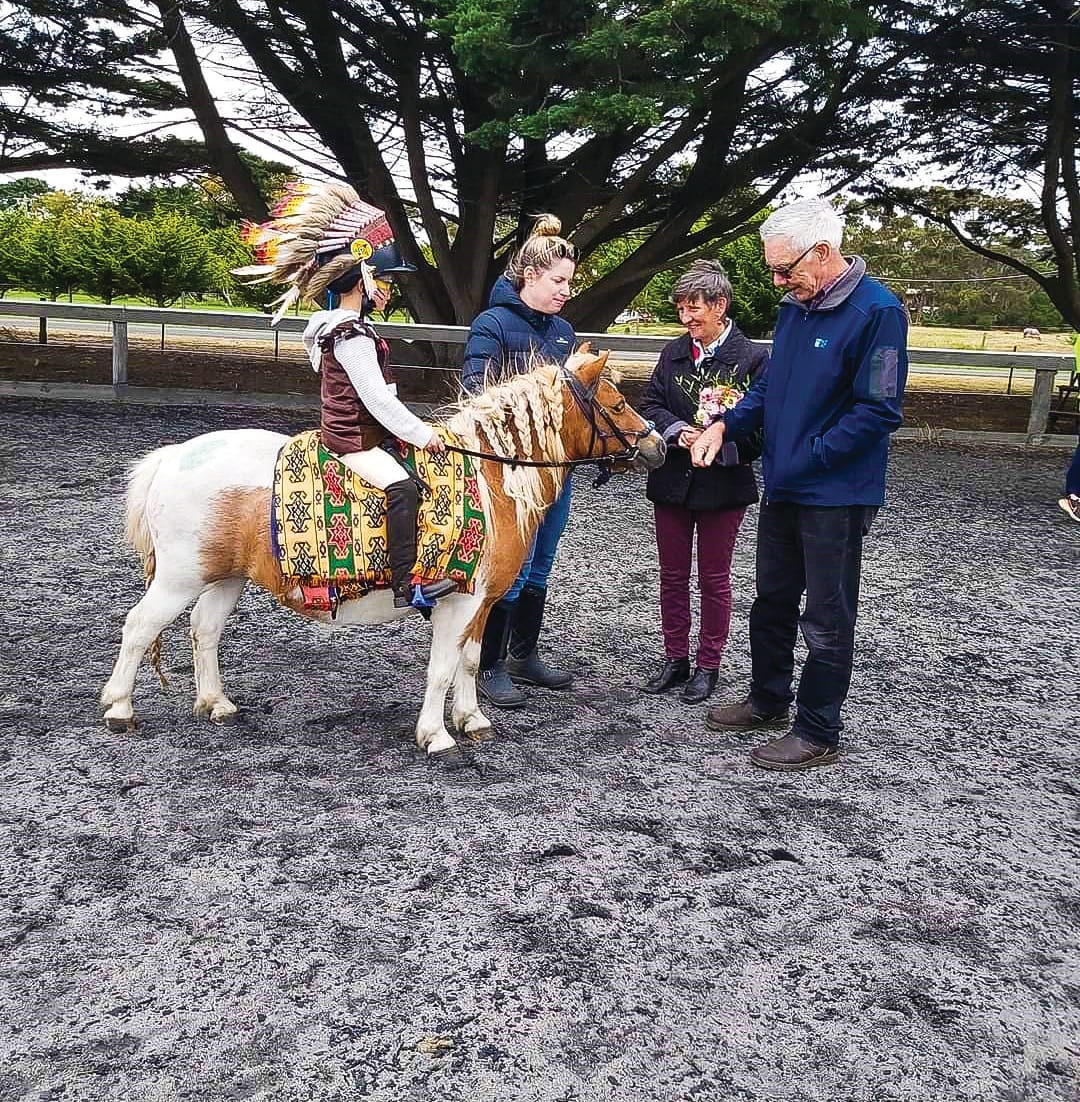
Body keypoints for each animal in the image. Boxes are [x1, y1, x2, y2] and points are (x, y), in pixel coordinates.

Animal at [100, 349, 666, 758]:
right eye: (617, 404)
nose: (658, 444)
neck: (492, 476)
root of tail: (174, 457)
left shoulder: (480, 604)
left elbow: (470, 662)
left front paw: (472, 719)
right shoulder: (459, 602)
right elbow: (441, 668)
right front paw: (436, 735)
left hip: (224, 577)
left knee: (204, 630)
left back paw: (216, 703)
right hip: (179, 578)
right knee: (139, 627)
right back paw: (119, 707)